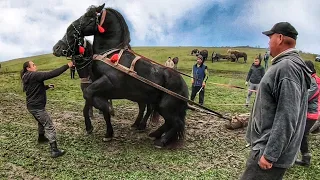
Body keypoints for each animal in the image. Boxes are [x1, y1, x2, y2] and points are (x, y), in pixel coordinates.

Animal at [52, 3, 188, 148]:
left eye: (88, 16)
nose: (56, 48)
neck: (111, 55)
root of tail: (183, 83)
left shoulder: (108, 82)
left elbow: (90, 96)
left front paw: (106, 113)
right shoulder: (100, 88)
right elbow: (91, 102)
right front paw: (105, 130)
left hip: (165, 106)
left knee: (176, 122)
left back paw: (159, 139)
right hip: (155, 102)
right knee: (166, 120)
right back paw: (152, 132)